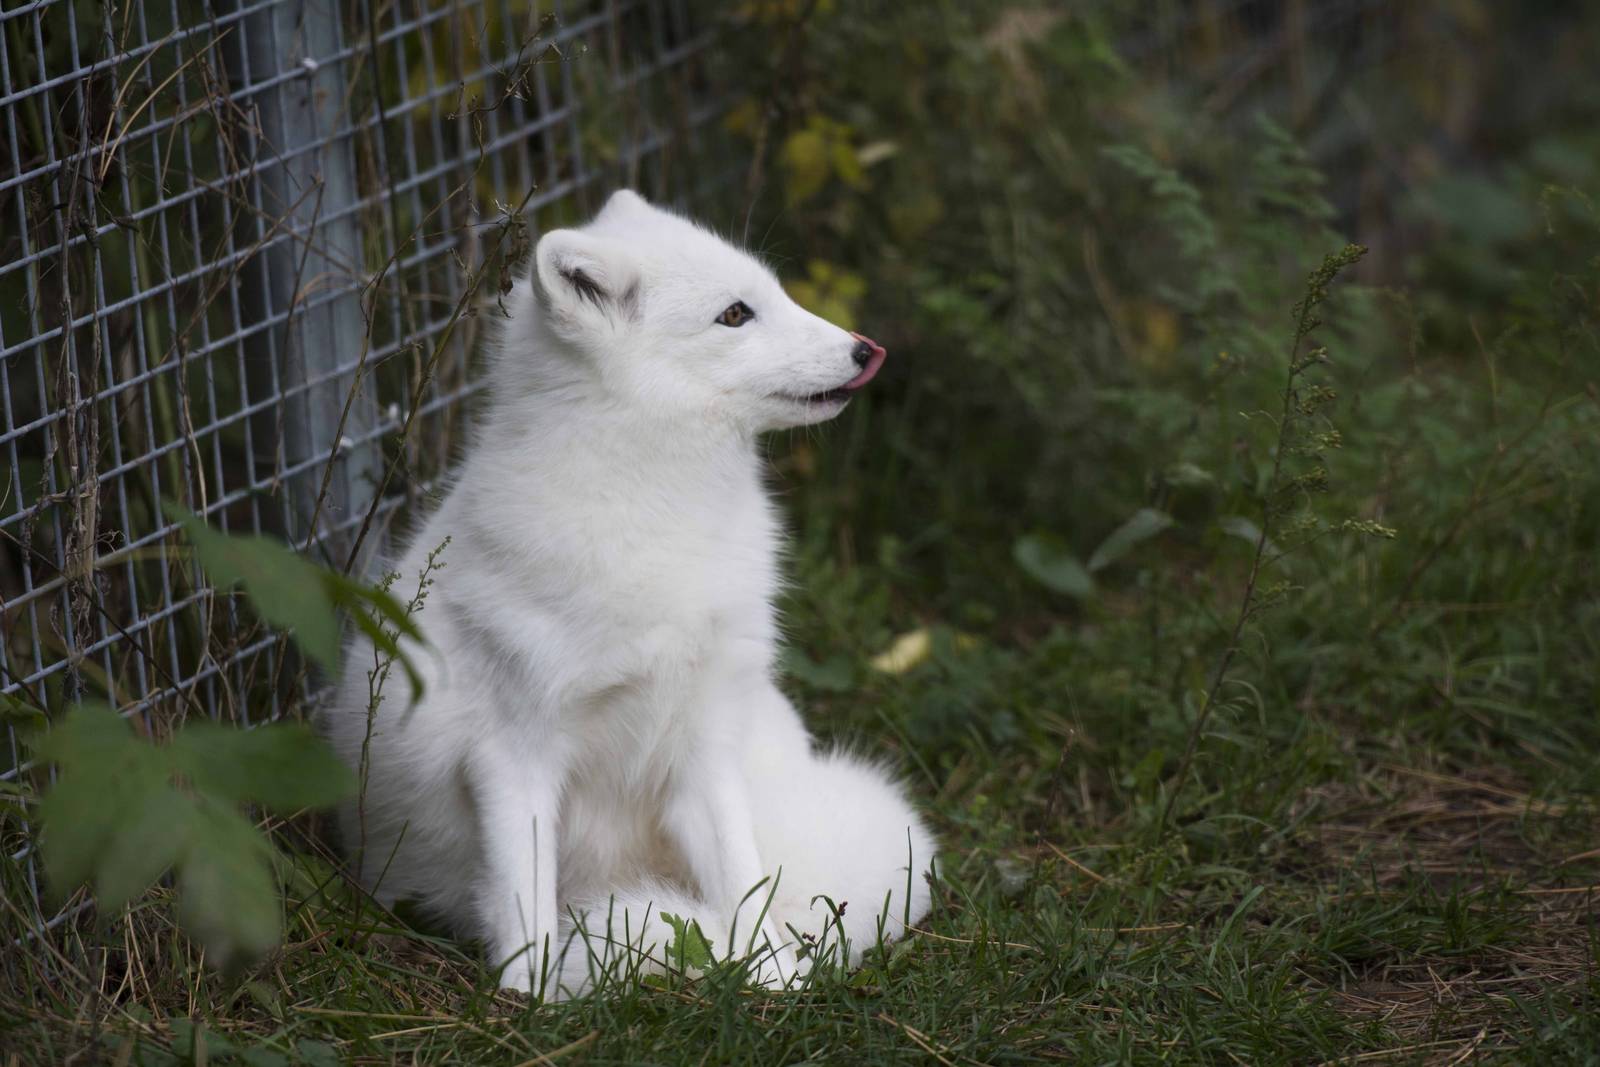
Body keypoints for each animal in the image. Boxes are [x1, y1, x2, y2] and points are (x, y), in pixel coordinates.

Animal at [322, 189, 936, 997]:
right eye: (735, 314)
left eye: (774, 292)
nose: (869, 351)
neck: (657, 523)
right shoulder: (513, 750)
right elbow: (525, 903)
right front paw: (531, 1002)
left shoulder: (704, 740)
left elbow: (743, 884)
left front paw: (774, 981)